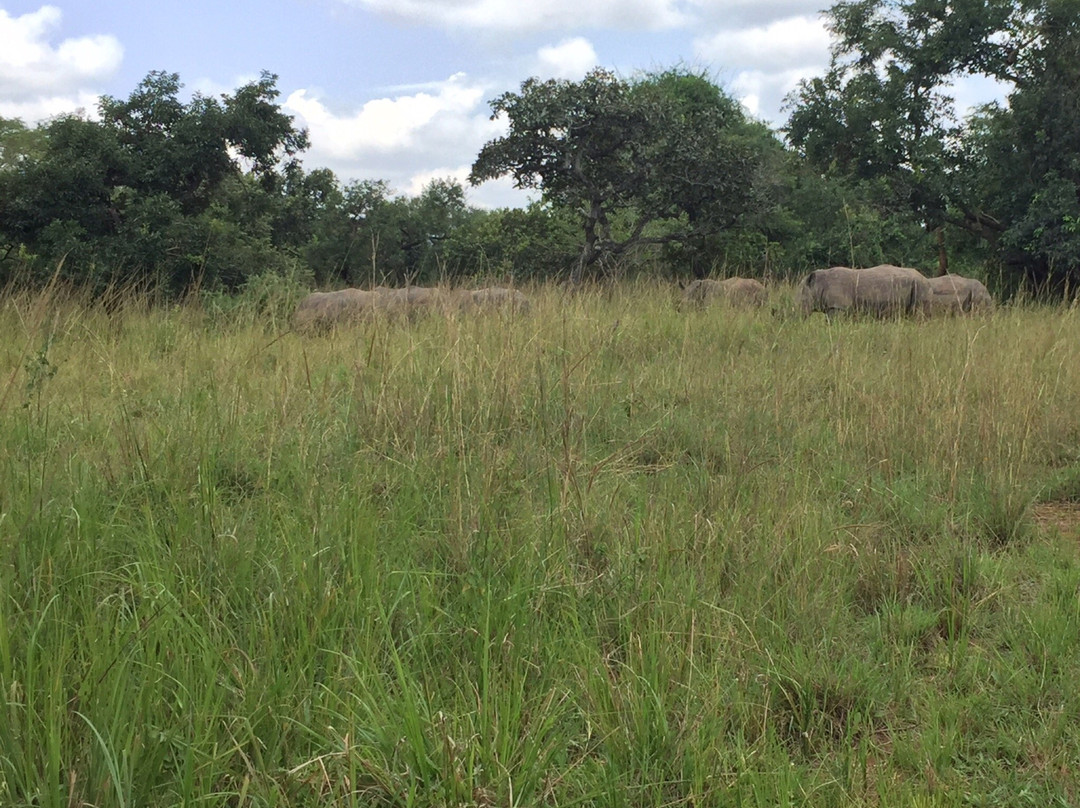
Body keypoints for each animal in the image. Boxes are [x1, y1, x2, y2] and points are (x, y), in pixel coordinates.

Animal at [796, 265, 934, 317]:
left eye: (802, 302)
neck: (818, 284)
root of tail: (926, 279)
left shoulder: (837, 307)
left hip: (920, 286)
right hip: (918, 285)